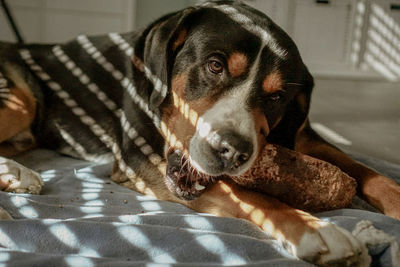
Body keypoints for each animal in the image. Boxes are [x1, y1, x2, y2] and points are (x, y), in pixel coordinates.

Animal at [0, 1, 400, 266]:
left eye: (276, 97)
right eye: (215, 65)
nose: (233, 151)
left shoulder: (303, 135)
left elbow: (366, 169)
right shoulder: (144, 156)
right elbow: (246, 194)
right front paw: (315, 230)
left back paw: (16, 173)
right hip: (22, 100)